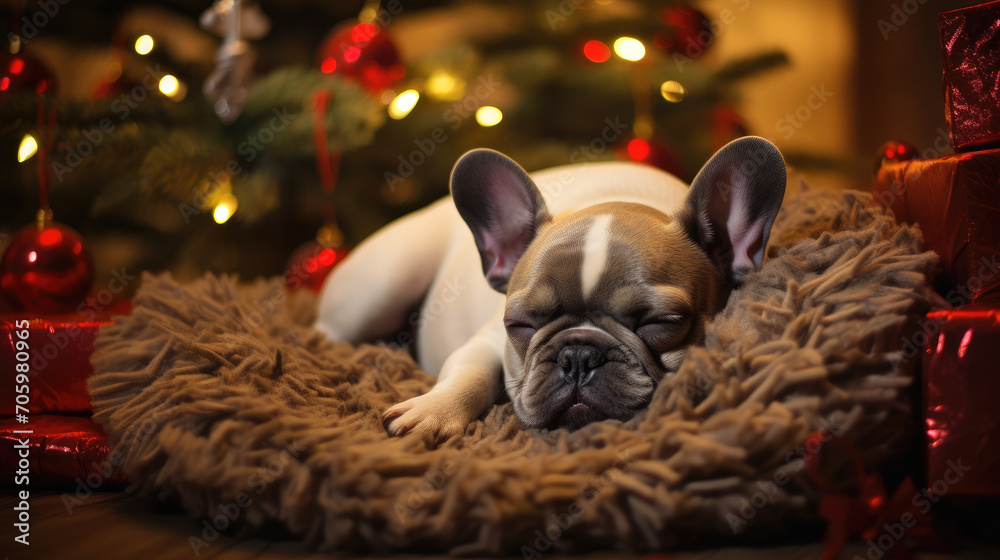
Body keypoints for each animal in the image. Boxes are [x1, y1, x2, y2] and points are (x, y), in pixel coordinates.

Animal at [316, 135, 784, 438]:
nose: (578, 355)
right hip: (382, 285)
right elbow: (468, 374)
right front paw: (433, 410)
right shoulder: (487, 340)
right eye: (521, 325)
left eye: (662, 322)